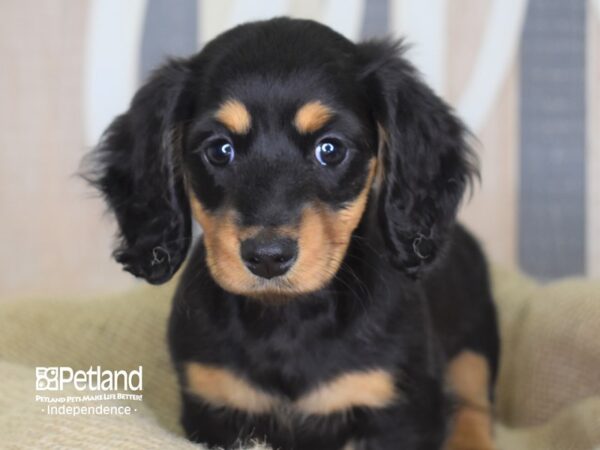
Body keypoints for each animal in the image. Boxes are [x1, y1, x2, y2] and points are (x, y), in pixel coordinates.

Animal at [89, 17, 500, 450]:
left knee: (474, 405)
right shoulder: (214, 406)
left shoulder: (400, 412)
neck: (287, 319)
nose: (268, 257)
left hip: (474, 339)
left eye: (330, 149)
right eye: (219, 150)